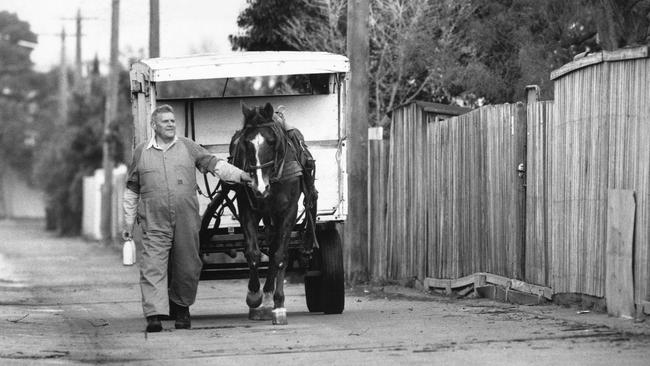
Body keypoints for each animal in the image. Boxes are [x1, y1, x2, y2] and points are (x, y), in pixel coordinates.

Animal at [228, 101, 304, 324]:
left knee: (277, 250)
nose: (260, 187)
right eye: (247, 143)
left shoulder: (289, 211)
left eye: (271, 142)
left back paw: (272, 296)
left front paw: (278, 303)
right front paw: (254, 296)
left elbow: (279, 254)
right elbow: (253, 252)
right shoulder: (248, 208)